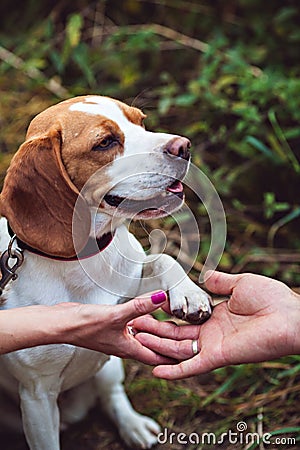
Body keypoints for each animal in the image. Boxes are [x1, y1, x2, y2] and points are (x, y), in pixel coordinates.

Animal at [0, 96, 211, 450]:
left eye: (141, 122)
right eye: (105, 143)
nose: (183, 146)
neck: (78, 260)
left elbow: (163, 259)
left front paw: (190, 293)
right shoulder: (37, 396)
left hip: (110, 368)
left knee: (111, 395)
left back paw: (133, 425)